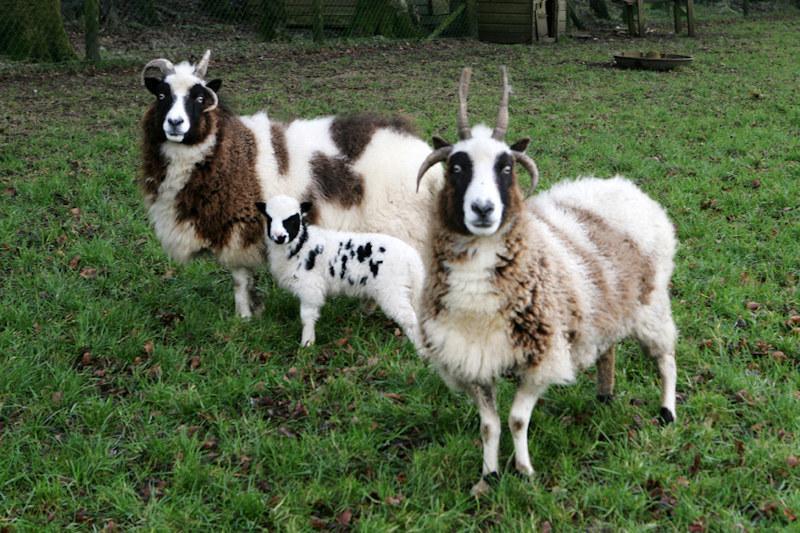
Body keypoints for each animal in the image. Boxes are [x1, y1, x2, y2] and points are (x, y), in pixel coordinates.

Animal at [142, 50, 444, 318]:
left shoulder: (238, 227)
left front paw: (243, 318)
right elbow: (244, 280)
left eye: (200, 97)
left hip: (403, 225)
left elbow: (239, 280)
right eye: (162, 95)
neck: (229, 150)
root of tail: (422, 153)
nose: (175, 123)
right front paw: (252, 312)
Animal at [256, 195, 424, 350]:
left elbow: (307, 317)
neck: (302, 244)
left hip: (393, 288)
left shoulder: (310, 288)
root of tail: (411, 257)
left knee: (409, 318)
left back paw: (419, 348)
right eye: (269, 218)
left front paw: (307, 343)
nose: (279, 237)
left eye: (292, 218)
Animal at [416, 66, 680, 494]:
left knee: (666, 360)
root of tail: (624, 185)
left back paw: (667, 413)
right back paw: (604, 397)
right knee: (608, 349)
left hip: (652, 306)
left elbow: (516, 419)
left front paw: (525, 471)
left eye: (506, 167)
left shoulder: (543, 355)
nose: (483, 209)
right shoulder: (473, 361)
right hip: (604, 307)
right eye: (456, 167)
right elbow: (489, 426)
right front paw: (488, 477)